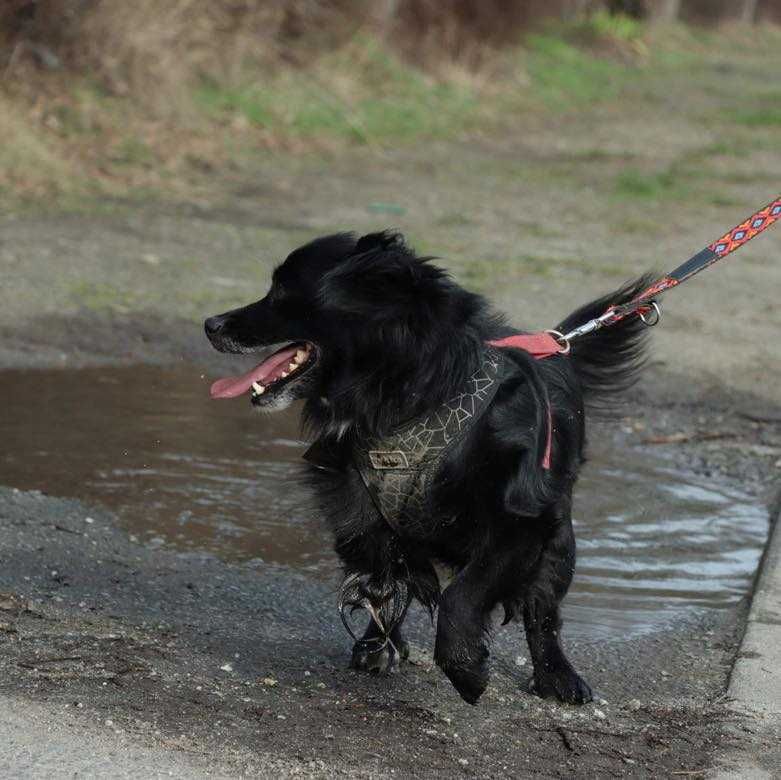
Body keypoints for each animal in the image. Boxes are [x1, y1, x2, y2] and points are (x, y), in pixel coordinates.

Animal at [204, 232, 648, 708]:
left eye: (283, 291)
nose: (210, 323)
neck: (407, 397)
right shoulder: (351, 493)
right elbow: (379, 559)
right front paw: (384, 625)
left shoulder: (521, 523)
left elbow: (463, 596)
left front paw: (465, 668)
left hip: (560, 540)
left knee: (543, 611)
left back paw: (558, 676)